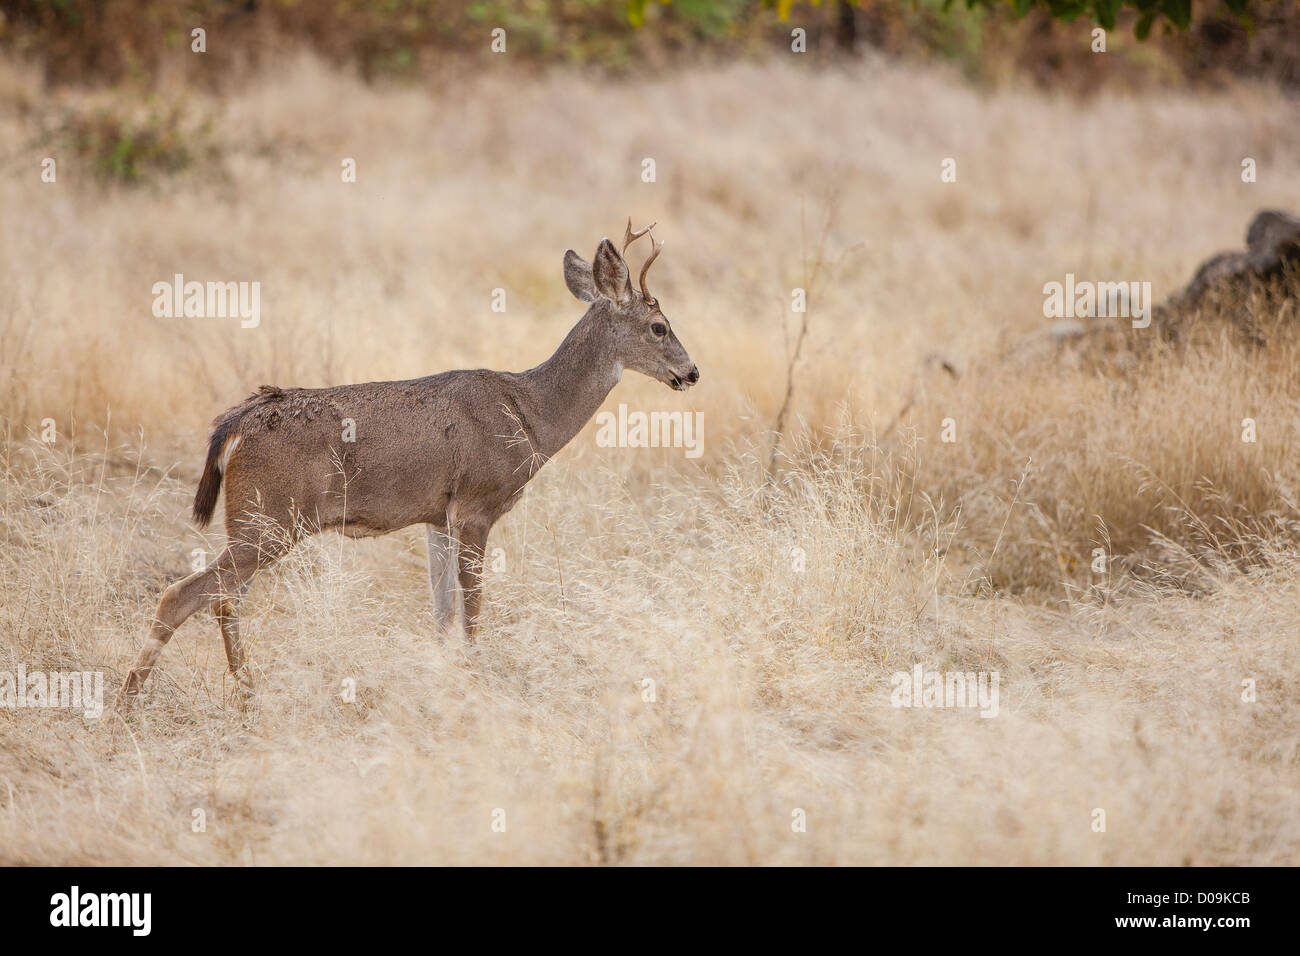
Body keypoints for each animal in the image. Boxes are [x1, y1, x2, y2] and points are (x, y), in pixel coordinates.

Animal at [116, 217, 696, 712]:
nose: (691, 372)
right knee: (182, 595)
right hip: (270, 518)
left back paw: (245, 692)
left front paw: (443, 676)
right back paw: (131, 704)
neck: (531, 414)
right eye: (659, 326)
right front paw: (478, 676)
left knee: (223, 598)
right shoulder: (476, 506)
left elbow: (440, 612)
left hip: (257, 522)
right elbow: (472, 606)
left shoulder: (437, 517)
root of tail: (235, 422)